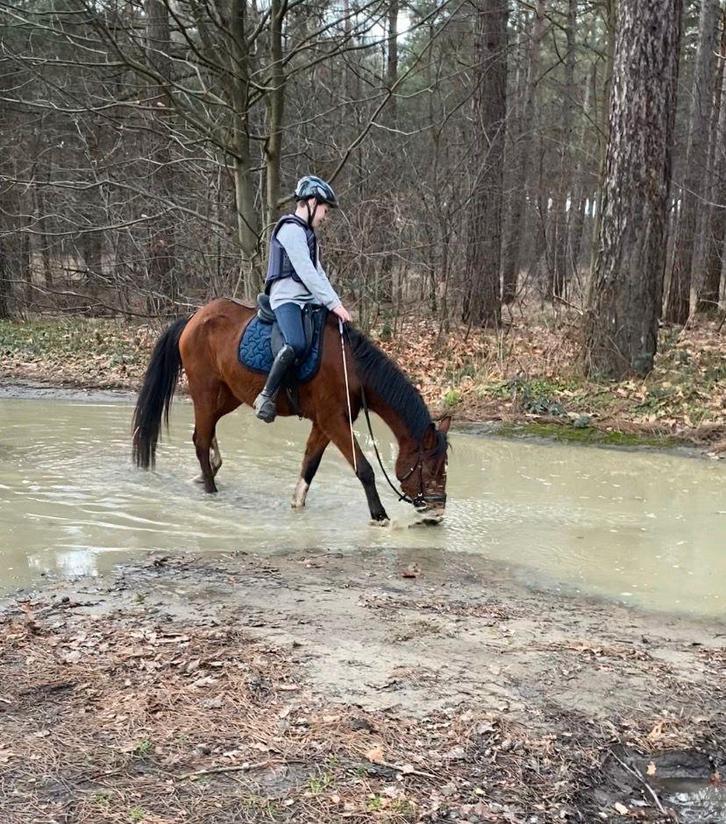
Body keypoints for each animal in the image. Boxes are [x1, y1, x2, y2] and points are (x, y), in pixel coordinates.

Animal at [131, 298, 450, 523]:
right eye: (431, 467)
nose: (437, 513)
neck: (352, 368)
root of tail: (193, 318)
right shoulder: (334, 421)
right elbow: (364, 468)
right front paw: (380, 516)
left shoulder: (324, 424)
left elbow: (309, 465)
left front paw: (297, 505)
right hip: (205, 391)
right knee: (199, 439)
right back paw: (211, 490)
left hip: (228, 395)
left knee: (205, 432)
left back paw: (210, 467)